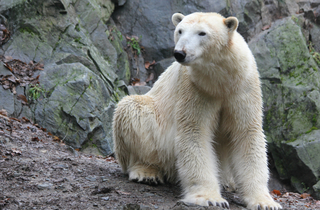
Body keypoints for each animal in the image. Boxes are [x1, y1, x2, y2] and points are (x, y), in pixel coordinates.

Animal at [113, 11, 282, 210]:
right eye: (180, 30)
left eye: (202, 33)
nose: (180, 53)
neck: (221, 80)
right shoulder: (196, 88)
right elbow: (194, 131)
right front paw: (211, 198)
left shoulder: (243, 87)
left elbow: (246, 133)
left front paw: (265, 202)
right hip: (153, 117)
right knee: (132, 111)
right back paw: (146, 172)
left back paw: (228, 182)